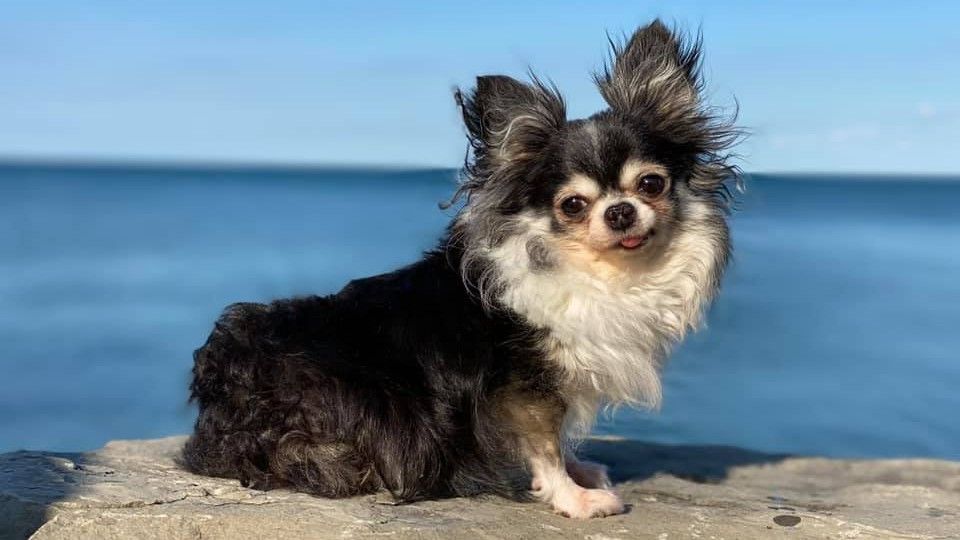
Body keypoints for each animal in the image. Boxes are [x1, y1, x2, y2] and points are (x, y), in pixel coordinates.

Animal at [188, 20, 744, 520]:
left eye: (650, 184)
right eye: (572, 205)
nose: (621, 211)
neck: (601, 272)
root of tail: (221, 400)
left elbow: (559, 440)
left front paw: (580, 473)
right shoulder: (523, 387)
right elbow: (544, 444)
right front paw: (575, 498)